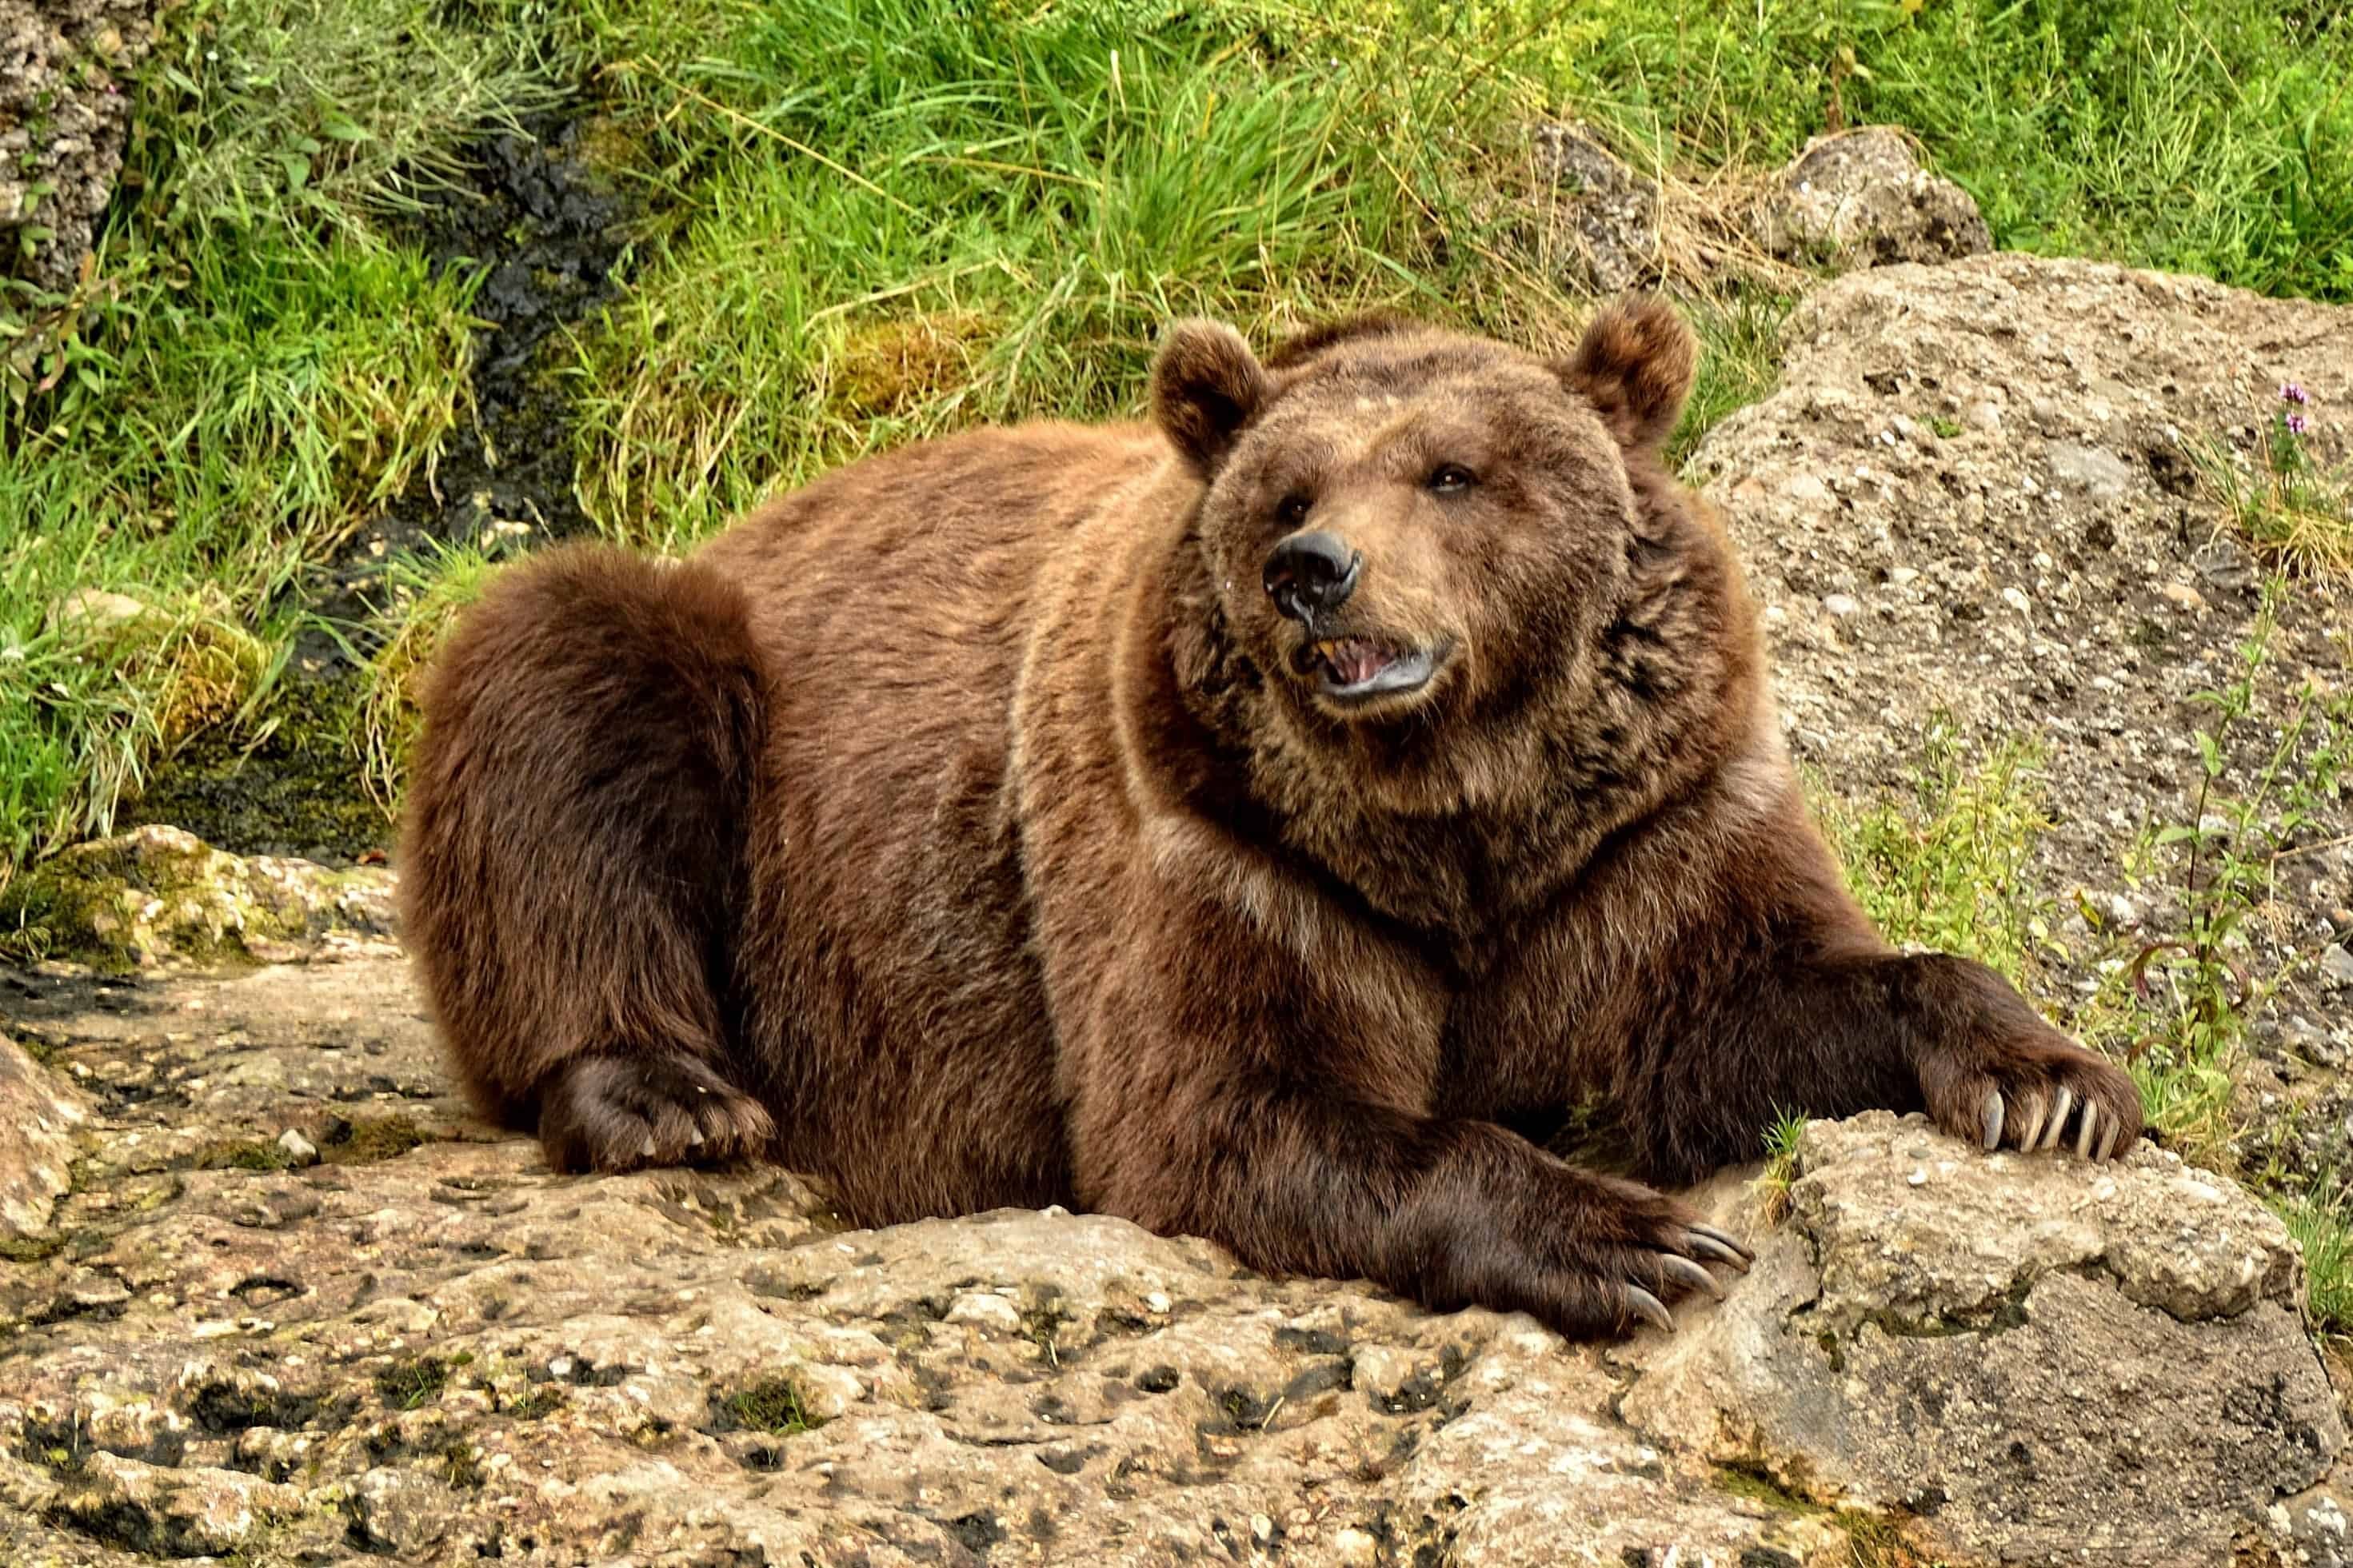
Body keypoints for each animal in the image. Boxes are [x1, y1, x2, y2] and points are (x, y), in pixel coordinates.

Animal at [405, 303, 2155, 1335]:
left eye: (1453, 471)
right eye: (1288, 488)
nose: (1316, 571)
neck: (1453, 810)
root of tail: (763, 515)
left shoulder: (1644, 830)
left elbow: (1741, 1001)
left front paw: (2048, 1081)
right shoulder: (1217, 843)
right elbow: (1228, 1104)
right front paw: (1628, 1238)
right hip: (732, 695)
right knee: (558, 671)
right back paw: (665, 1093)